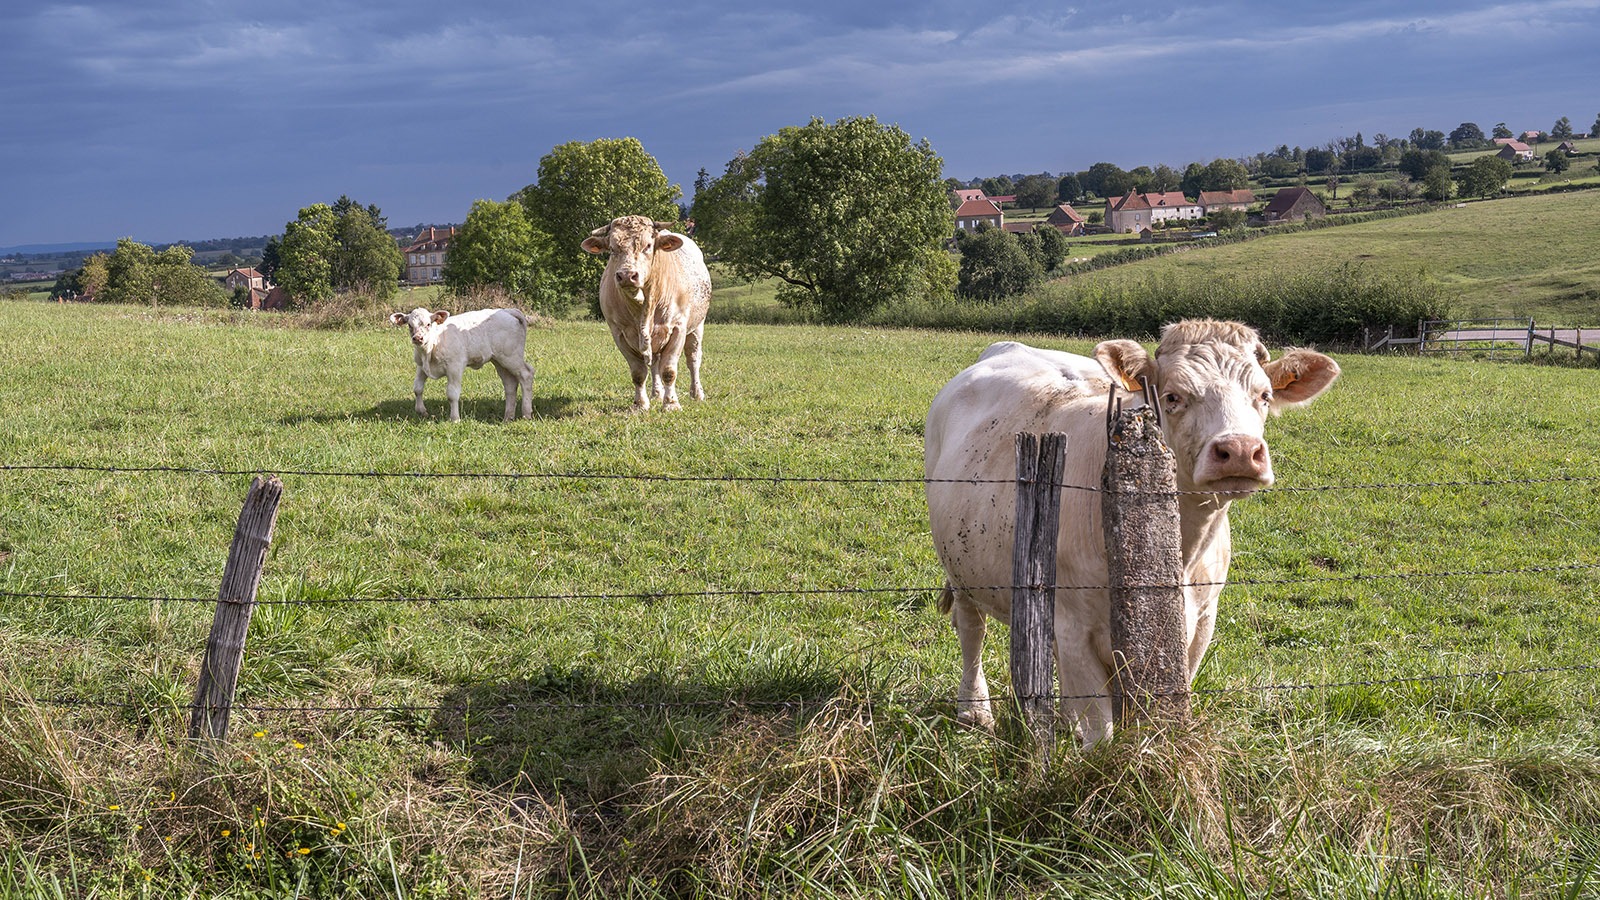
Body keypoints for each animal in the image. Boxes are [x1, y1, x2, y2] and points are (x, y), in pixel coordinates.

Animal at [388, 305, 534, 422]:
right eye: (409, 325)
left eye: (428, 324)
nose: (418, 338)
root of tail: (507, 310)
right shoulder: (421, 366)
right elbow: (417, 388)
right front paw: (421, 411)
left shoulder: (455, 367)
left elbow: (452, 394)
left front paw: (455, 419)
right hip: (499, 361)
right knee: (510, 384)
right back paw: (508, 417)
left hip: (511, 357)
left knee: (526, 374)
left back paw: (526, 414)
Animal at [585, 216, 710, 413]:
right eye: (612, 249)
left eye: (649, 245)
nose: (627, 275)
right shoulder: (619, 333)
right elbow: (638, 372)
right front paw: (640, 404)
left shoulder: (678, 328)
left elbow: (669, 371)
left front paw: (671, 404)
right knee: (655, 363)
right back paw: (656, 394)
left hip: (697, 326)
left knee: (693, 360)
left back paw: (697, 393)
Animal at [928, 320, 1337, 743]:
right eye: (1172, 396)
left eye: (1264, 395)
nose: (1240, 450)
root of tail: (1007, 346)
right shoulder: (1073, 630)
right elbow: (1100, 732)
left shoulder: (1201, 621)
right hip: (960, 566)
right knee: (971, 629)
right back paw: (974, 712)